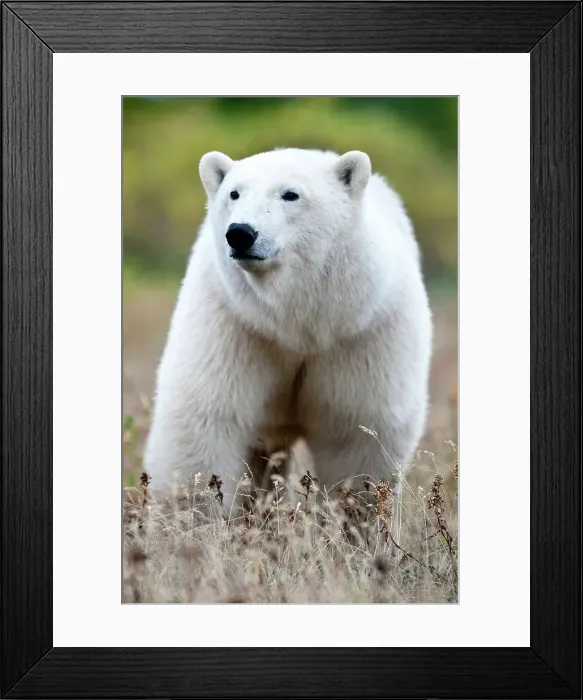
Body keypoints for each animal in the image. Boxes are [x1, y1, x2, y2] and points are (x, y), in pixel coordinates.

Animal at [143, 148, 432, 513]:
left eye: (290, 194)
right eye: (234, 193)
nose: (240, 233)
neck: (297, 321)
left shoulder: (363, 333)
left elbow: (358, 434)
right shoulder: (235, 323)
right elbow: (207, 417)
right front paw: (193, 516)